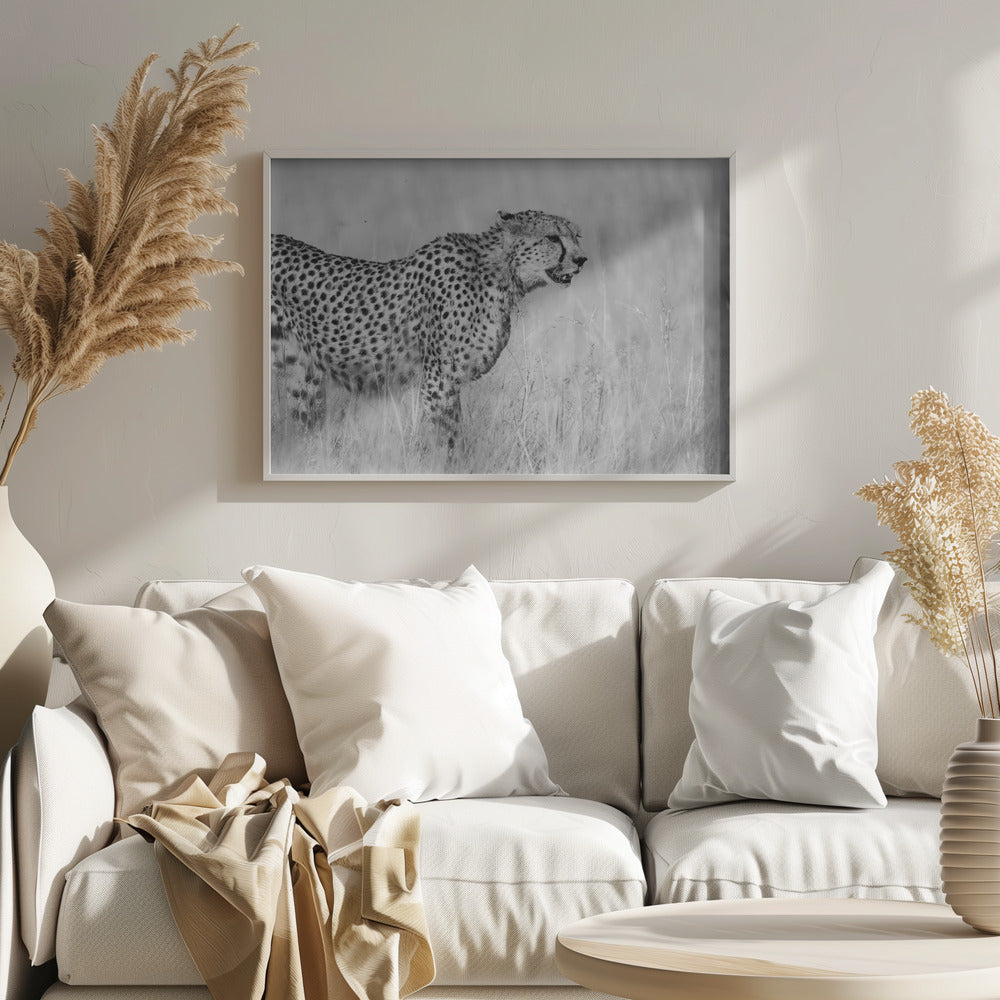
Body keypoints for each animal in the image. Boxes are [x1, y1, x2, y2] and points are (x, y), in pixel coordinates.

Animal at [269, 209, 586, 451]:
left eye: (576, 236)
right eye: (552, 237)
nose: (581, 260)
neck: (500, 274)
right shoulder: (438, 381)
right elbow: (448, 440)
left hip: (302, 375)